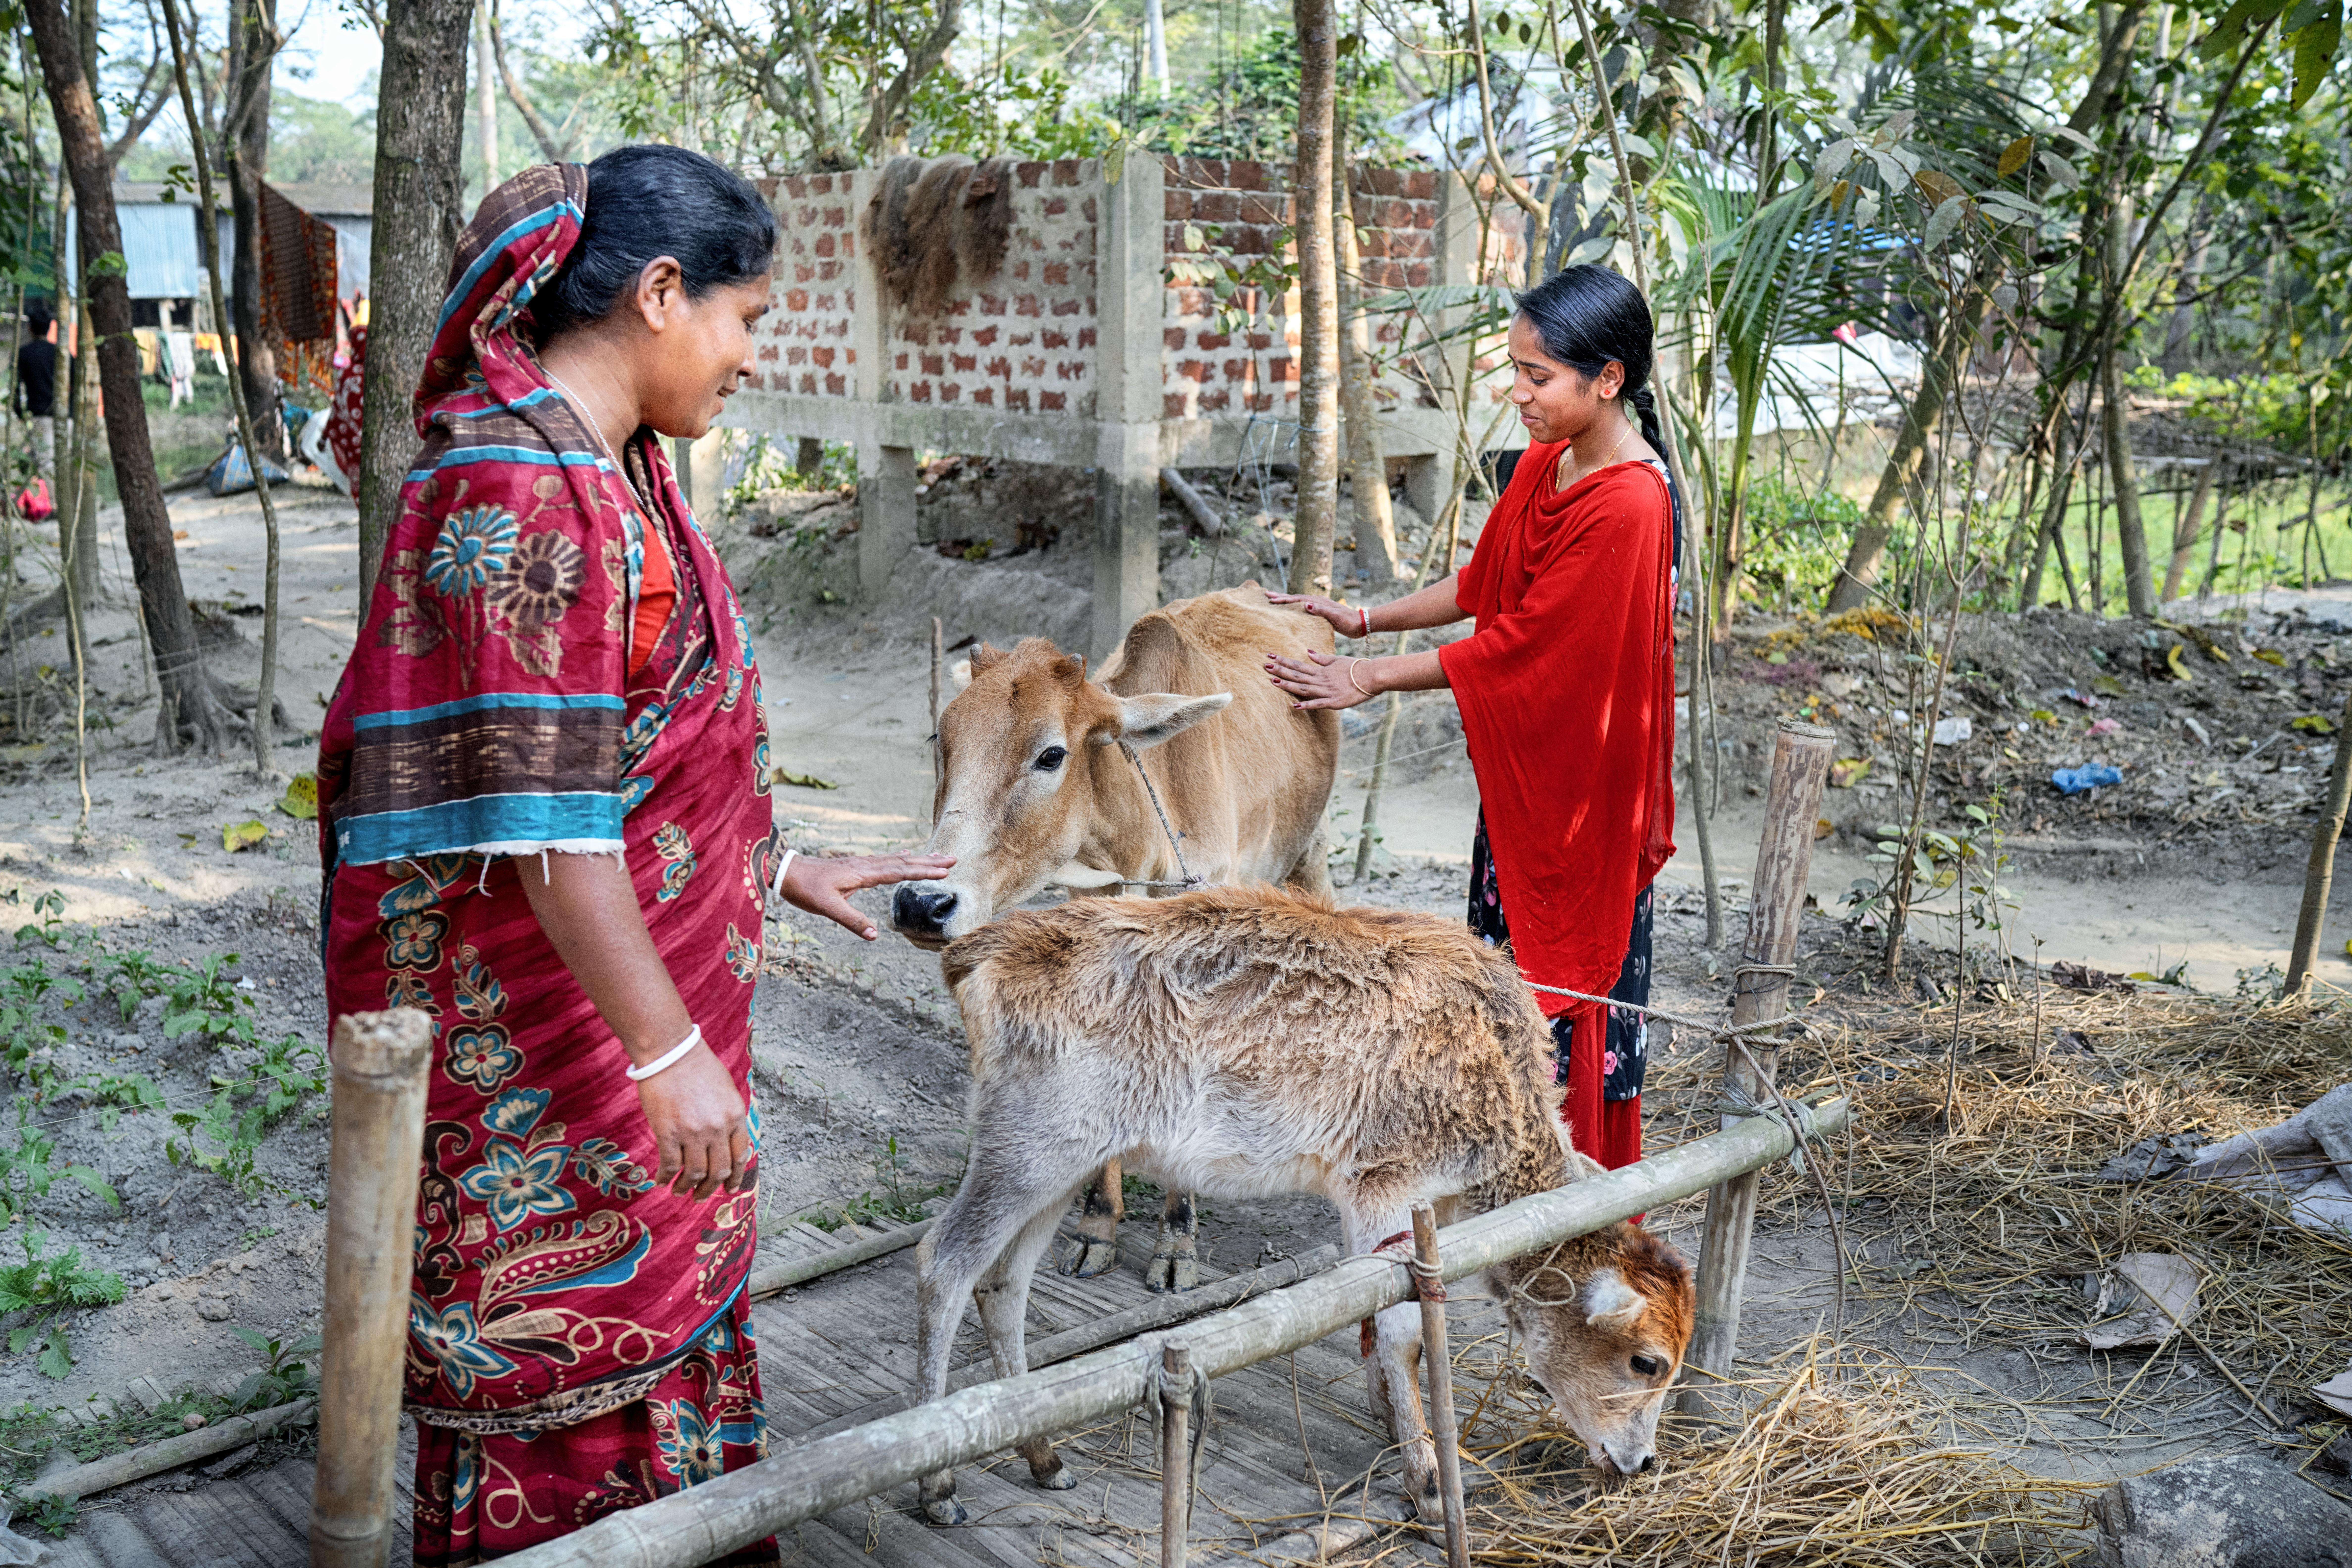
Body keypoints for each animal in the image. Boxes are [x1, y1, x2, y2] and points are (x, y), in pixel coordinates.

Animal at [892, 585, 1341, 1289]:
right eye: (944, 736)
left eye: (1052, 754)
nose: (922, 903)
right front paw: (1097, 1226)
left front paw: (1177, 1243)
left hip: (1310, 851)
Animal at [908, 885, 1696, 1526]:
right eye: (1647, 1362)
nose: (1642, 1461)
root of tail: (977, 950)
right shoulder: (1385, 1182)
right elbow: (1404, 1329)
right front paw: (1427, 1479)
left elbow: (1375, 1316)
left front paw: (1387, 1416)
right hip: (1028, 1147)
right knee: (943, 1263)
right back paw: (938, 1487)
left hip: (1061, 1168)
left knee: (1003, 1285)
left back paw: (1044, 1458)